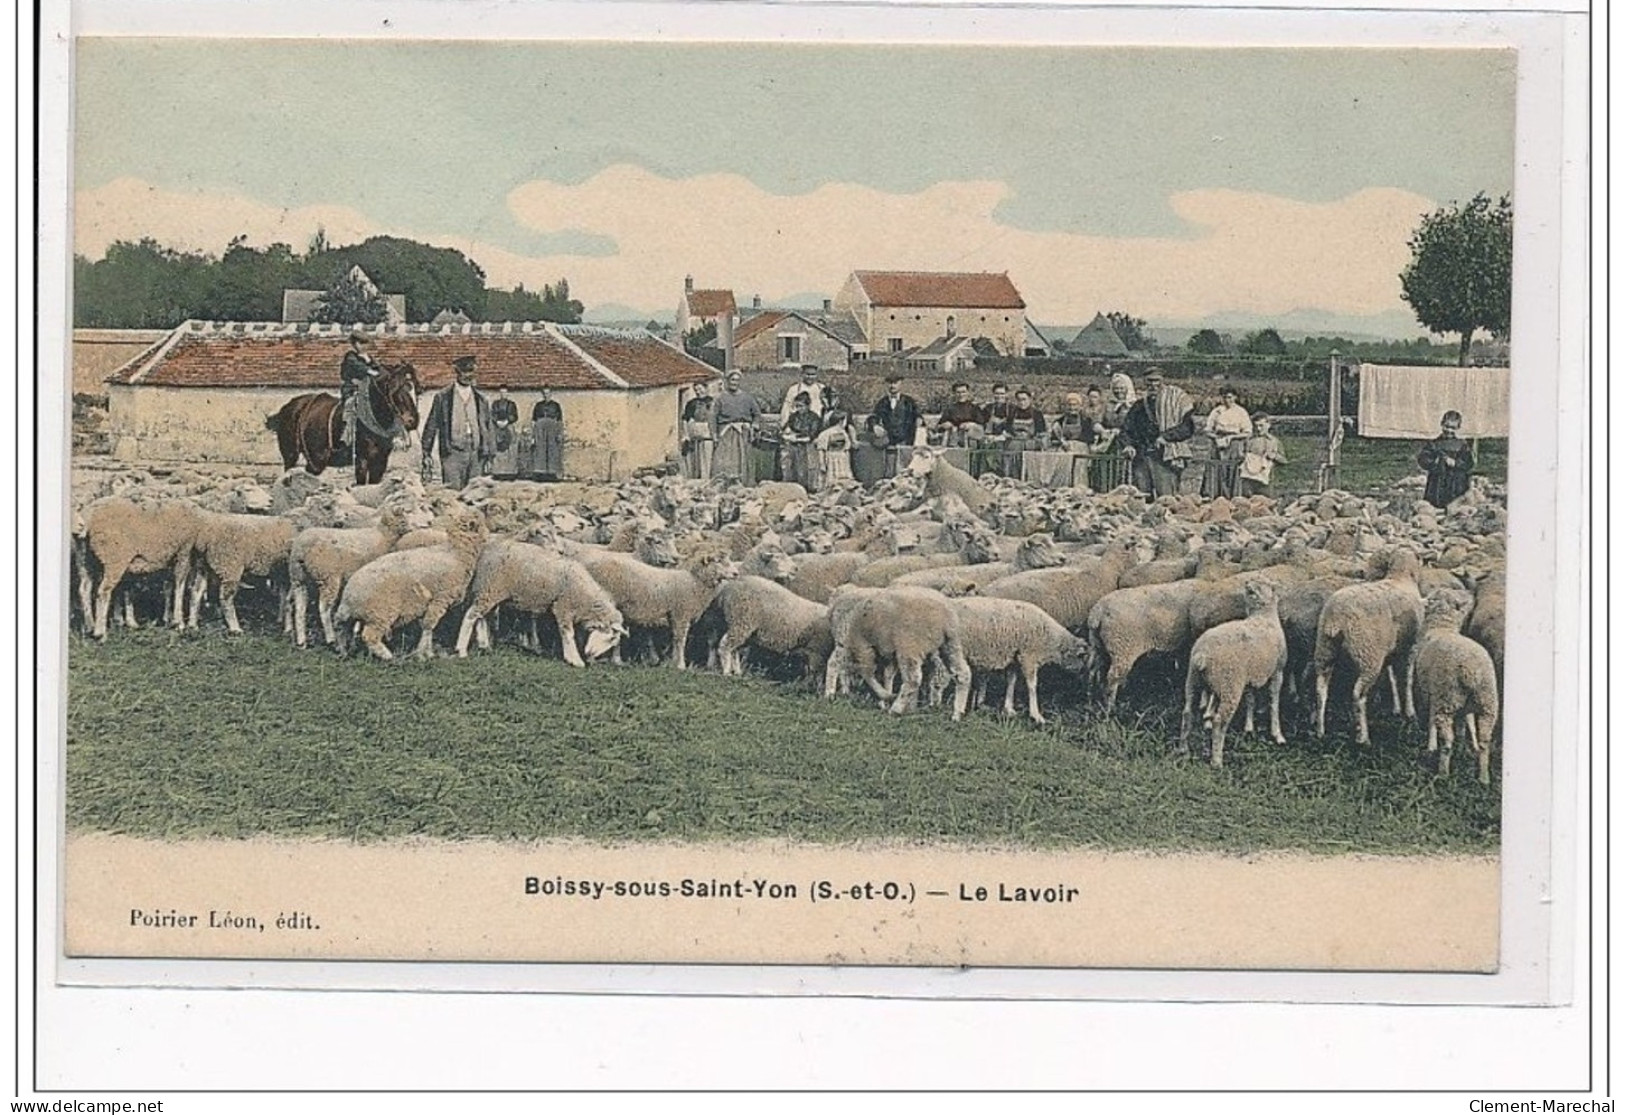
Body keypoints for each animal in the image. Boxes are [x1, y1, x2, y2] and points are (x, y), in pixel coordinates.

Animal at [266, 362, 422, 484]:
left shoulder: (380, 462)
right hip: (292, 456)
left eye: (417, 390)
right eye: (396, 390)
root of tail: (288, 407)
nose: (412, 421)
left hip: (314, 461)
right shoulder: (361, 460)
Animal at [334, 516, 487, 663]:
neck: (456, 553)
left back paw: (344, 651)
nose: (488, 536)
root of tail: (349, 597)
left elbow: (425, 626)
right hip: (380, 613)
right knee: (369, 636)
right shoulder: (439, 599)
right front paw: (425, 653)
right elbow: (429, 626)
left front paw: (425, 651)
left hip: (353, 616)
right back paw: (387, 656)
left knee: (341, 628)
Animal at [949, 598, 1085, 728]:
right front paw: (1036, 715)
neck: (1051, 640)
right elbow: (1032, 686)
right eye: (1082, 658)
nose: (1081, 680)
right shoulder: (1028, 656)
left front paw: (1009, 708)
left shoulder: (1013, 658)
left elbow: (1011, 681)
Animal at [1176, 575, 1287, 767]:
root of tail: (1203, 655)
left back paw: (1184, 749)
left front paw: (1248, 727)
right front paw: (1277, 734)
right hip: (1230, 683)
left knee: (1188, 712)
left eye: (1261, 582)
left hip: (1195, 680)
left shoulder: (1250, 676)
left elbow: (1250, 699)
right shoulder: (1277, 671)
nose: (1247, 583)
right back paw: (1216, 760)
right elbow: (1274, 701)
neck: (1263, 616)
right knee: (1219, 721)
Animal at [1417, 594, 1501, 786]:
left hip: (1446, 700)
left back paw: (1443, 774)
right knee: (1485, 741)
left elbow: (1431, 721)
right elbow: (1466, 722)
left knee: (1447, 741)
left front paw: (1431, 746)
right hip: (1488, 704)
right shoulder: (1462, 705)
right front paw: (1464, 745)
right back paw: (1483, 777)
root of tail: (1471, 671)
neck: (1442, 627)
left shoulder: (1432, 693)